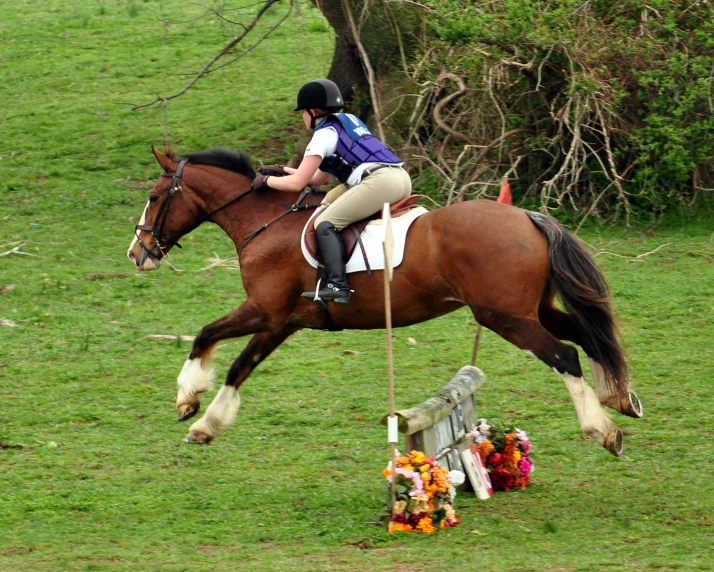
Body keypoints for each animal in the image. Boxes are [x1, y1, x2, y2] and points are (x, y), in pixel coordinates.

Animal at [125, 146, 644, 456]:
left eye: (153, 196)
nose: (137, 252)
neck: (262, 222)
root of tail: (528, 217)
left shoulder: (264, 311)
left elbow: (205, 334)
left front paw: (187, 398)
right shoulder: (282, 321)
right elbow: (240, 367)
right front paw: (206, 424)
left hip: (503, 316)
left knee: (565, 354)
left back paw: (603, 429)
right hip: (531, 309)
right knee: (588, 335)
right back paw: (620, 399)